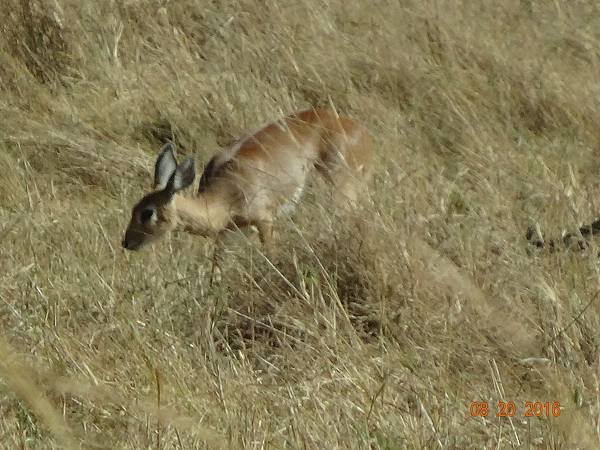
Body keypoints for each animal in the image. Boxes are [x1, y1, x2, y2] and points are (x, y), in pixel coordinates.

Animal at [121, 106, 372, 253]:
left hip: (342, 194)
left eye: (147, 213)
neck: (226, 194)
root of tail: (360, 130)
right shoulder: (227, 233)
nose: (127, 242)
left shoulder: (264, 220)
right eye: (133, 208)